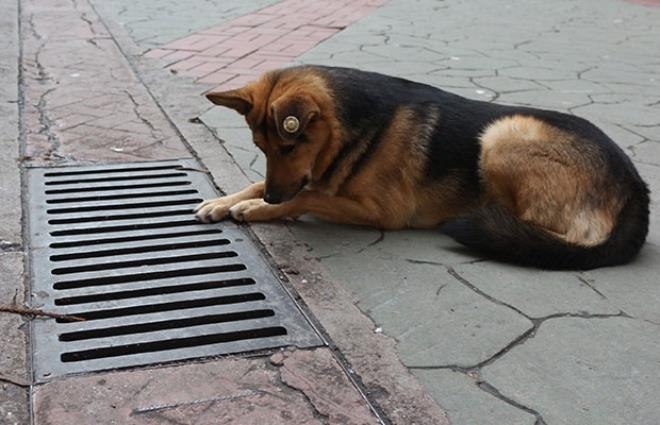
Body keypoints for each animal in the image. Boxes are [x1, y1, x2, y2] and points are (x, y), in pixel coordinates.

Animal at [193, 66, 648, 268]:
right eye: (261, 147)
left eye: (289, 147)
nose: (273, 196)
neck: (356, 127)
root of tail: (637, 187)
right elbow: (264, 183)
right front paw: (224, 201)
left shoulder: (382, 211)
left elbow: (307, 196)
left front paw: (258, 209)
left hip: (501, 134)